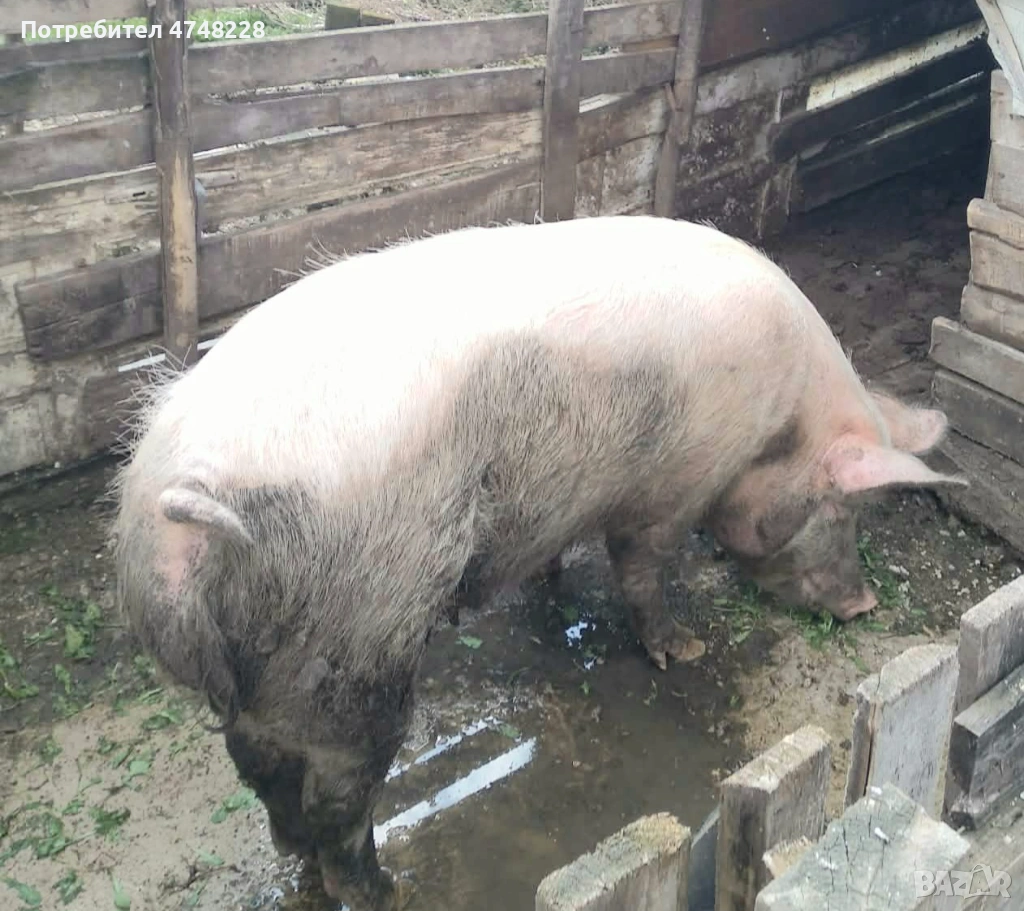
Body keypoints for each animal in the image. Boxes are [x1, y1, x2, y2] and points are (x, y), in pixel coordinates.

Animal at [111, 214, 964, 910]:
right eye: (844, 508)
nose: (863, 607)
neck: (776, 421)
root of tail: (172, 506)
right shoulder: (672, 487)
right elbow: (642, 570)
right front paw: (683, 650)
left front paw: (557, 588)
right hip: (356, 637)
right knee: (336, 792)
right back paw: (387, 889)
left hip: (262, 680)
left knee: (259, 764)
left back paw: (298, 852)